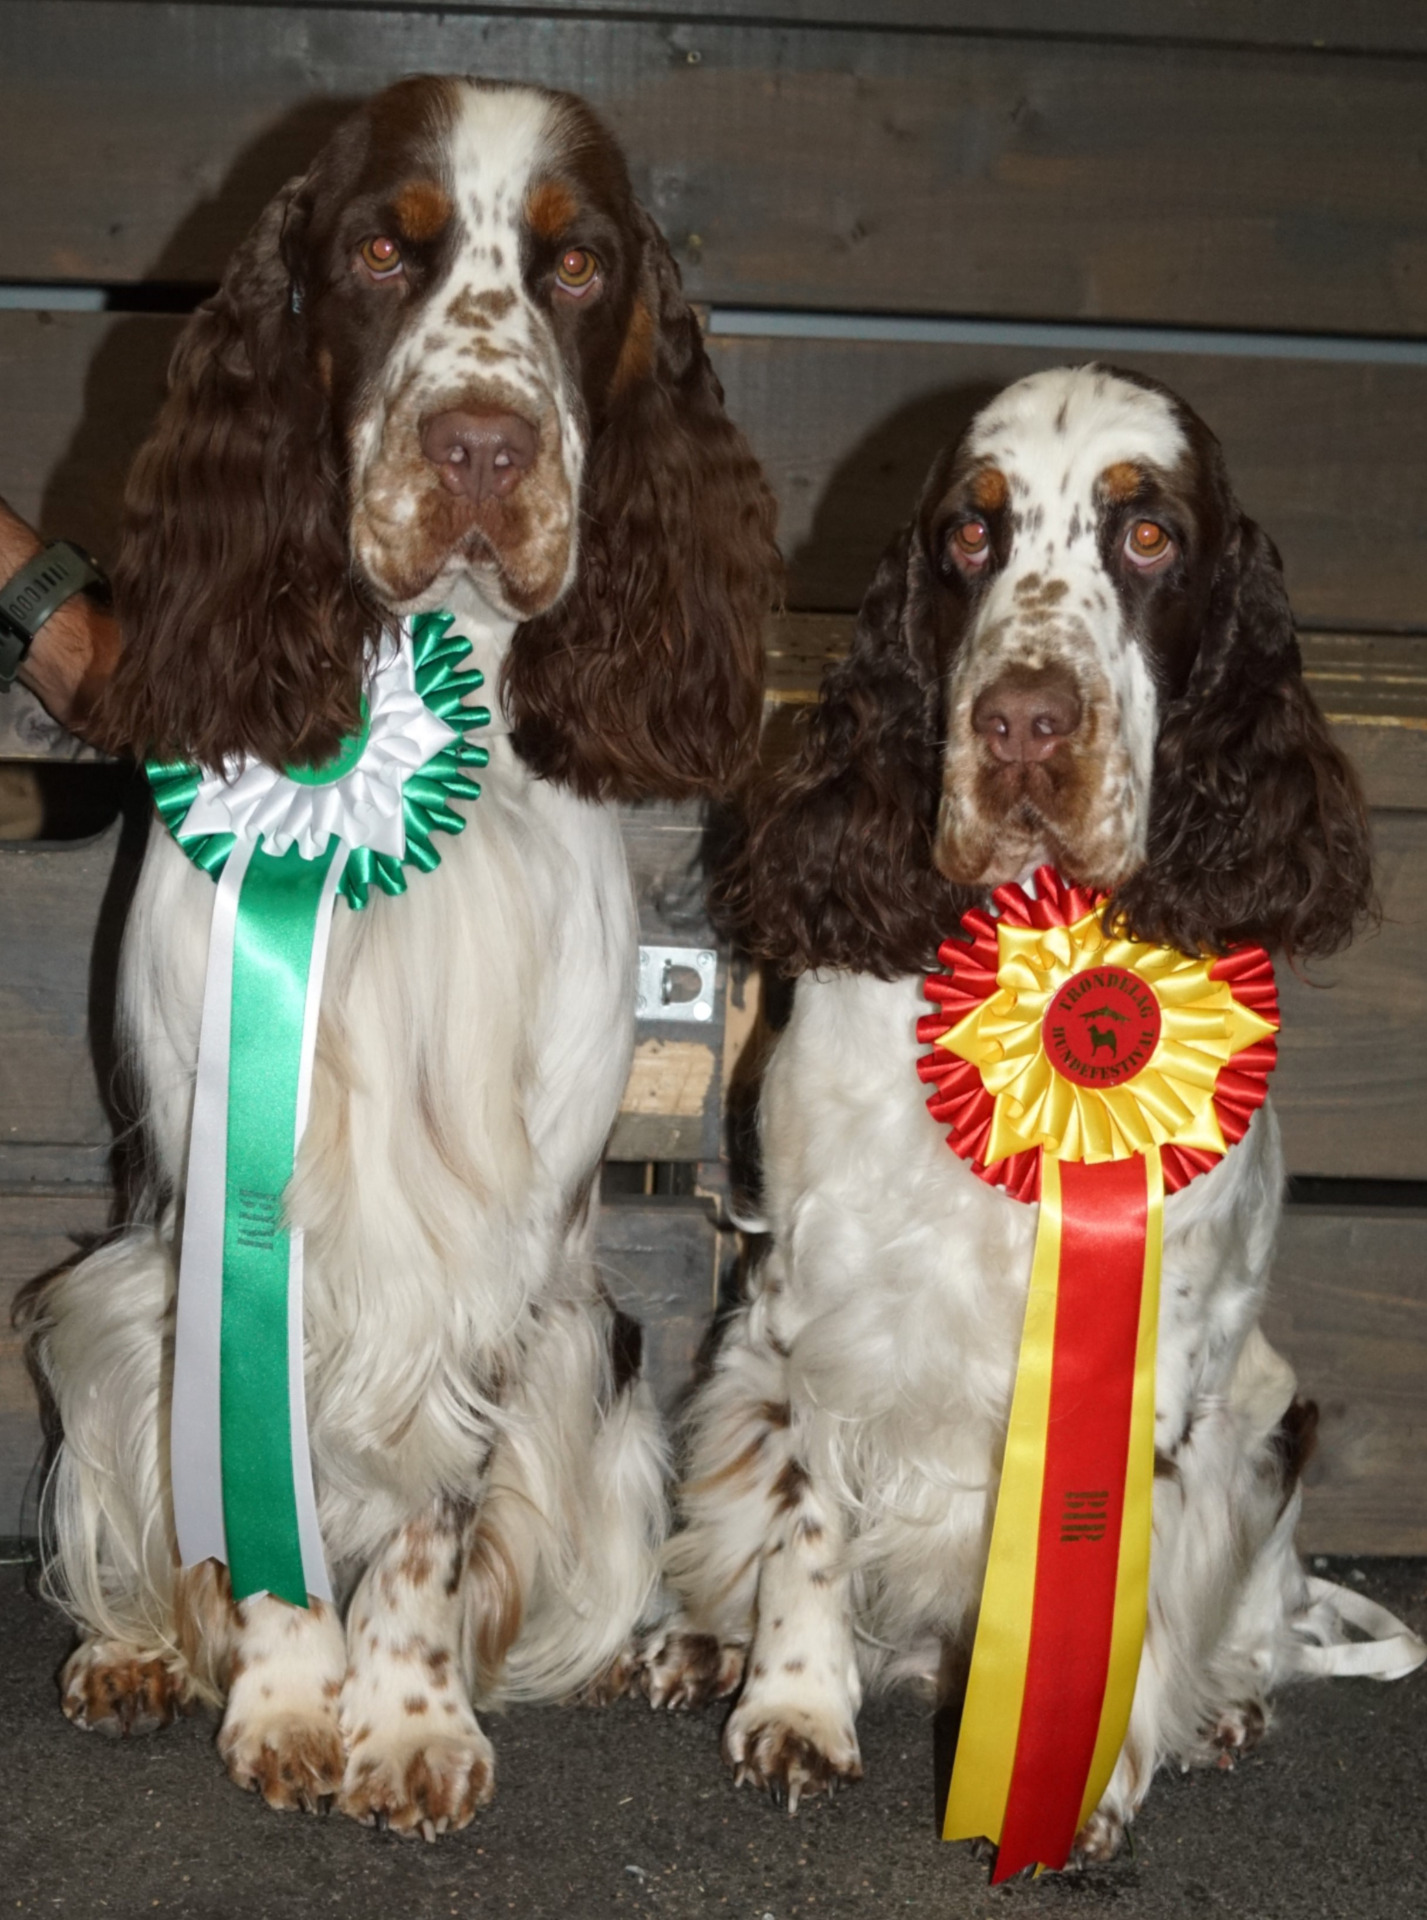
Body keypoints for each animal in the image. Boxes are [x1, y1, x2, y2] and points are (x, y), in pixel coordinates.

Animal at [27, 74, 778, 1835]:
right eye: (380, 249)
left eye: (575, 267)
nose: (482, 446)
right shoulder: (236, 1217)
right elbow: (268, 1489)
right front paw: (292, 1704)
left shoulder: (503, 1253)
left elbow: (438, 1524)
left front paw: (412, 1722)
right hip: (105, 1301)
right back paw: (132, 1657)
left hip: (593, 1356)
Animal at [644, 365, 1404, 1859]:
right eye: (967, 534)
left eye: (1148, 535)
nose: (1021, 722)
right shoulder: (814, 1303)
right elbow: (807, 1516)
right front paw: (793, 1707)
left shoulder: (1167, 1357)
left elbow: (1132, 1591)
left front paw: (1085, 1782)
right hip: (731, 1367)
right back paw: (705, 1644)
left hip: (1265, 1430)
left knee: (1256, 1617)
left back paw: (1226, 1709)